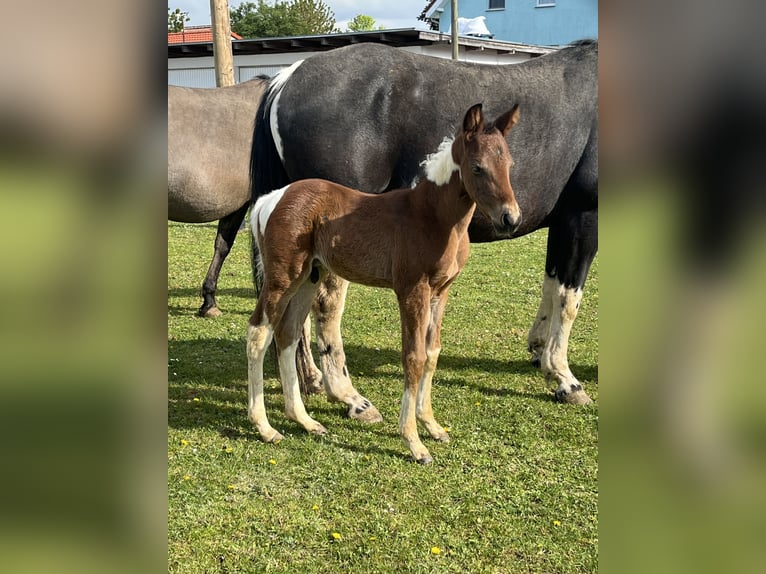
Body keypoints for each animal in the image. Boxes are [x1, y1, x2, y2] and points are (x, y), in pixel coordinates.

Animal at [248, 103, 521, 464]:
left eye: (509, 165)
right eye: (477, 168)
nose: (510, 218)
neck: (432, 217)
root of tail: (274, 197)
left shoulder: (441, 292)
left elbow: (432, 352)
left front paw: (432, 426)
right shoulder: (412, 290)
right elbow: (413, 357)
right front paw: (414, 442)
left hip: (308, 277)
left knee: (287, 335)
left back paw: (305, 421)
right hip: (283, 277)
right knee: (259, 333)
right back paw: (265, 428)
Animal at [251, 41, 597, 418]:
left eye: (509, 162)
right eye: (478, 167)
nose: (511, 217)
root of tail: (287, 78)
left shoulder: (561, 224)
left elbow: (551, 285)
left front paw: (539, 350)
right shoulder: (582, 217)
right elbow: (568, 297)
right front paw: (564, 377)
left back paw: (311, 380)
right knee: (325, 307)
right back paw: (349, 396)